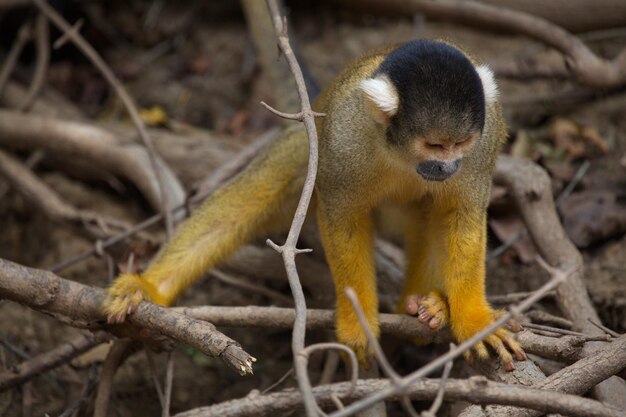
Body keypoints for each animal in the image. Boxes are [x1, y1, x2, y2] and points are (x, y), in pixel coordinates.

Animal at [105, 39, 524, 368]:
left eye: (462, 143)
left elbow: (461, 215)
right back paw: (150, 287)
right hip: (310, 146)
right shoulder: (342, 140)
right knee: (258, 191)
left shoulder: (483, 146)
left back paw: (428, 307)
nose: (450, 165)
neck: (401, 154)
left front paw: (474, 320)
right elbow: (343, 217)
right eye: (435, 145)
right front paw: (358, 321)